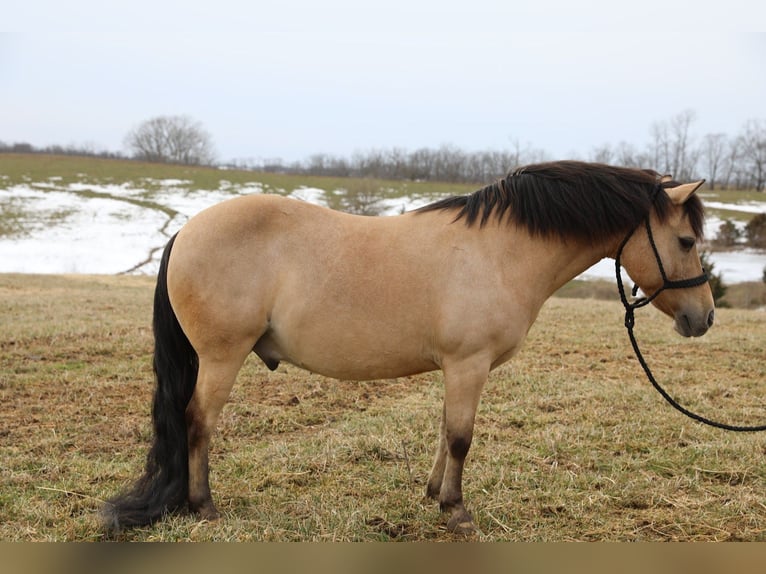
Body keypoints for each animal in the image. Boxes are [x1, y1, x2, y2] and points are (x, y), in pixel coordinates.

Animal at [102, 161, 714, 535]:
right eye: (686, 240)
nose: (703, 317)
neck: (501, 251)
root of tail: (187, 230)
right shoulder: (469, 365)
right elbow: (462, 437)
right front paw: (457, 511)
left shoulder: (457, 369)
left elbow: (446, 432)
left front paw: (432, 493)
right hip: (221, 358)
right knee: (197, 422)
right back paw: (203, 507)